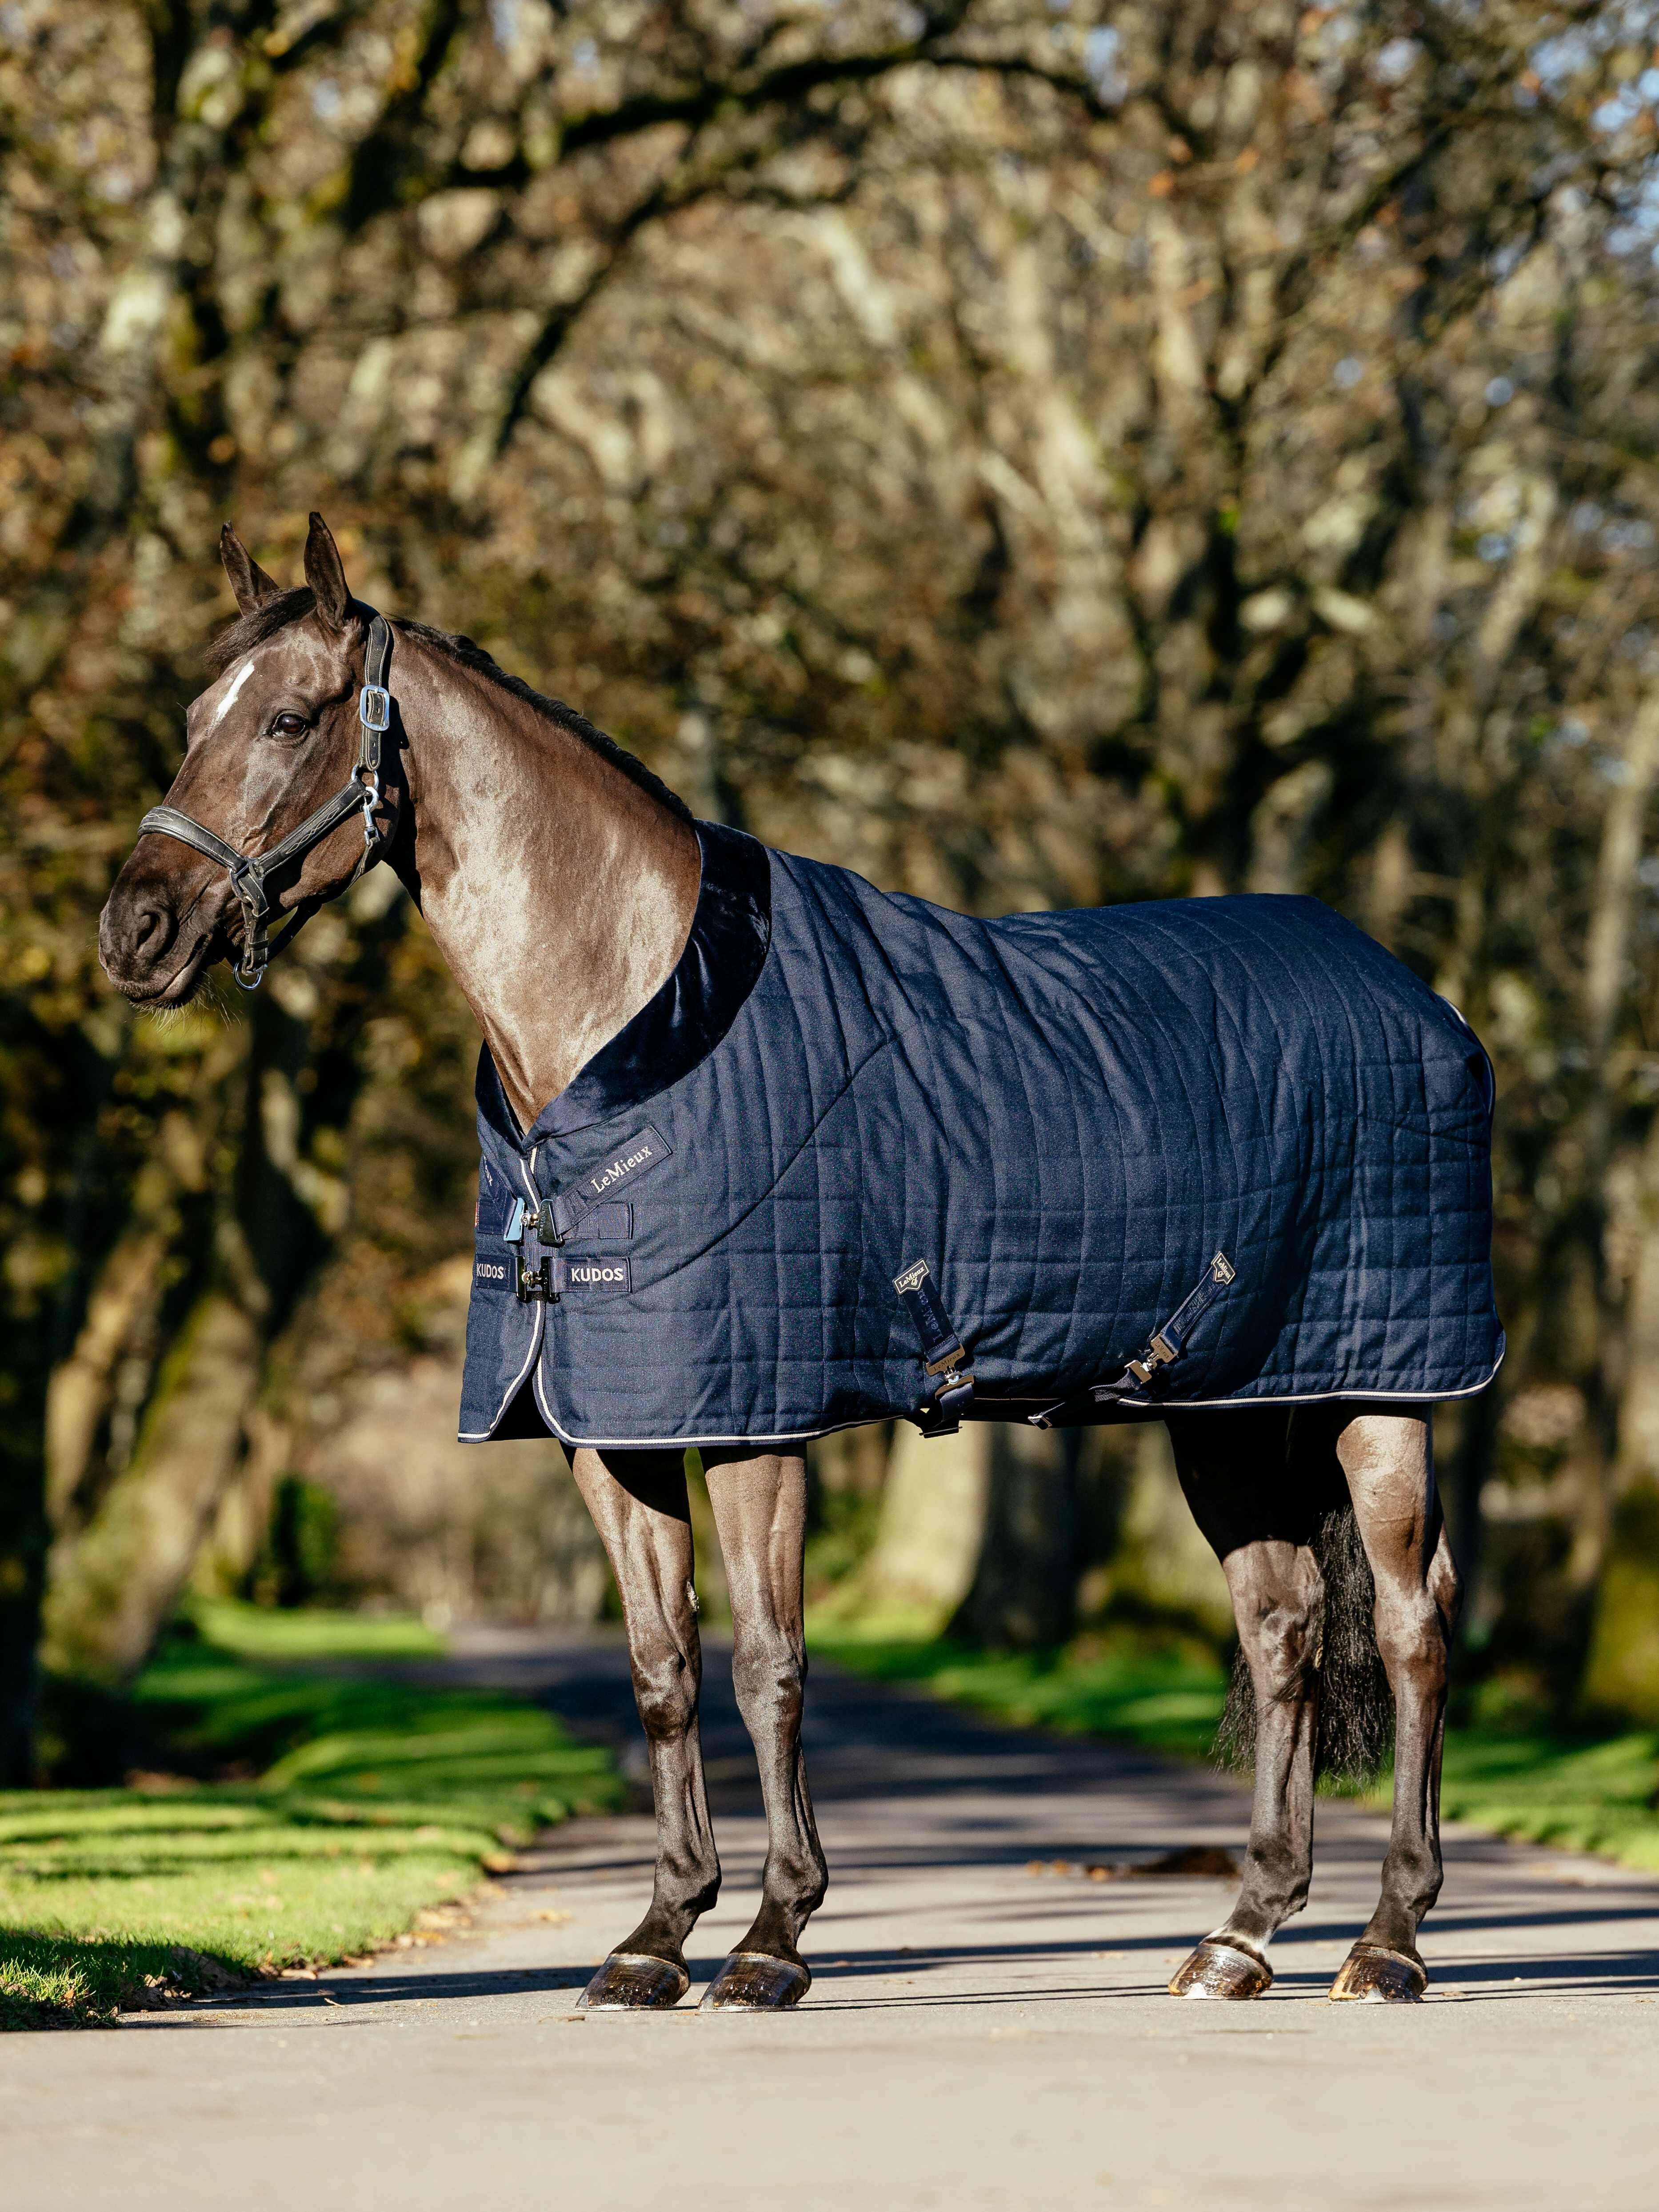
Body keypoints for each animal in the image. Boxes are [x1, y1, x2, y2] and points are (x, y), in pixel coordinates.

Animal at [99, 514, 1494, 2011]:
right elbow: (661, 1667)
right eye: (190, 718)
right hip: (1228, 1406)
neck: (632, 1020)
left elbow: (769, 1663)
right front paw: (652, 1938)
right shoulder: (612, 1426)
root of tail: (1406, 991)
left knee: (1408, 1628)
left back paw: (1387, 1941)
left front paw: (770, 1938)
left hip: (1378, 1396)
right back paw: (1235, 1938)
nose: (136, 930)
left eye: (288, 720)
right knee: (1281, 1627)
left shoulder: (751, 1414)